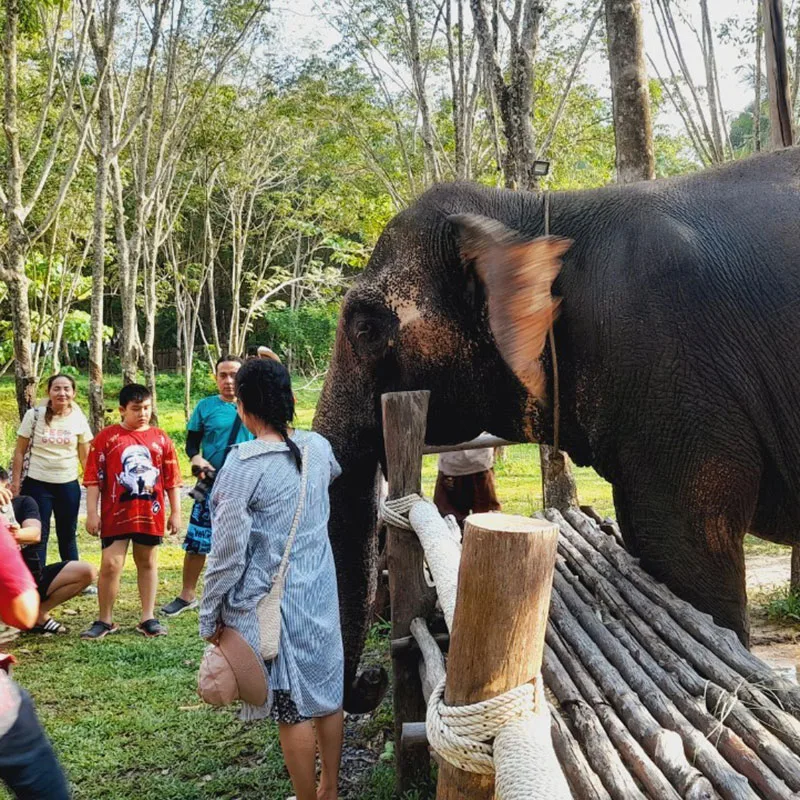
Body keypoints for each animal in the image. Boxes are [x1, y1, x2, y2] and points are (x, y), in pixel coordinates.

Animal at [313, 146, 800, 713]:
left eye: (366, 328)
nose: (371, 678)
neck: (531, 214)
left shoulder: (681, 374)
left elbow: (688, 555)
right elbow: (646, 538)